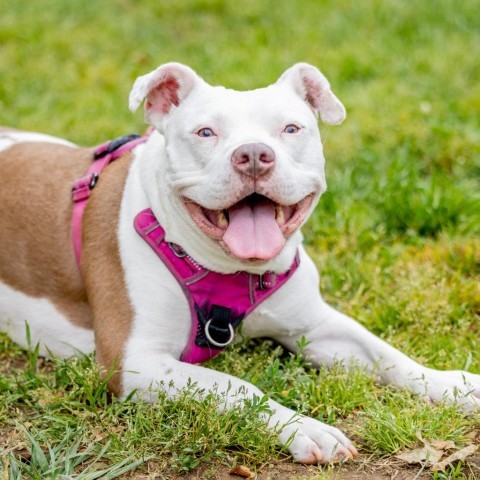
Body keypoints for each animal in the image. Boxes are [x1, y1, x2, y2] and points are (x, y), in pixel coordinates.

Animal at [0, 62, 480, 464]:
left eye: (291, 128)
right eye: (205, 132)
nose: (252, 154)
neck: (233, 270)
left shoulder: (315, 325)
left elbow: (386, 355)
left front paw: (451, 383)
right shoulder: (134, 361)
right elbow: (235, 385)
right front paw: (304, 428)